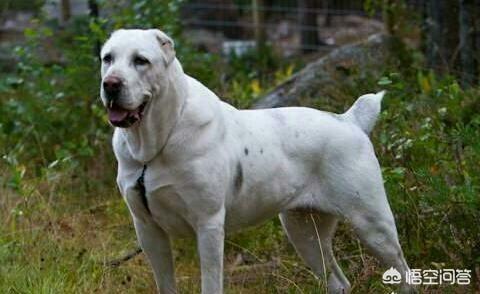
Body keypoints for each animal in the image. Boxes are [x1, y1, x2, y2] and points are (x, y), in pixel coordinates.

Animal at [98, 28, 412, 292]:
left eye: (141, 61)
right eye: (107, 58)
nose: (110, 84)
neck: (155, 146)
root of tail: (350, 121)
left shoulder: (208, 225)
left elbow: (210, 283)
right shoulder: (148, 229)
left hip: (373, 225)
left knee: (404, 273)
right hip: (304, 233)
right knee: (338, 282)